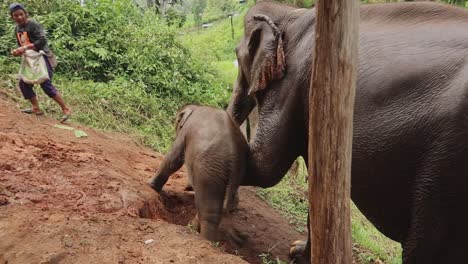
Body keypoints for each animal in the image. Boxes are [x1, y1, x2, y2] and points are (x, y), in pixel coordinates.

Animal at [149, 104, 249, 242]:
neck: (197, 106)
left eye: (177, 121)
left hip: (209, 172)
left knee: (208, 210)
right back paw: (193, 228)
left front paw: (150, 185)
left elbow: (174, 158)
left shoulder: (186, 131)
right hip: (233, 175)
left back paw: (204, 239)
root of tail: (235, 158)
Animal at [229, 1, 468, 262]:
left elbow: (265, 166)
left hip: (448, 163)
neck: (291, 12)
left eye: (236, 54)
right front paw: (298, 252)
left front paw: (294, 252)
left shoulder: (291, 84)